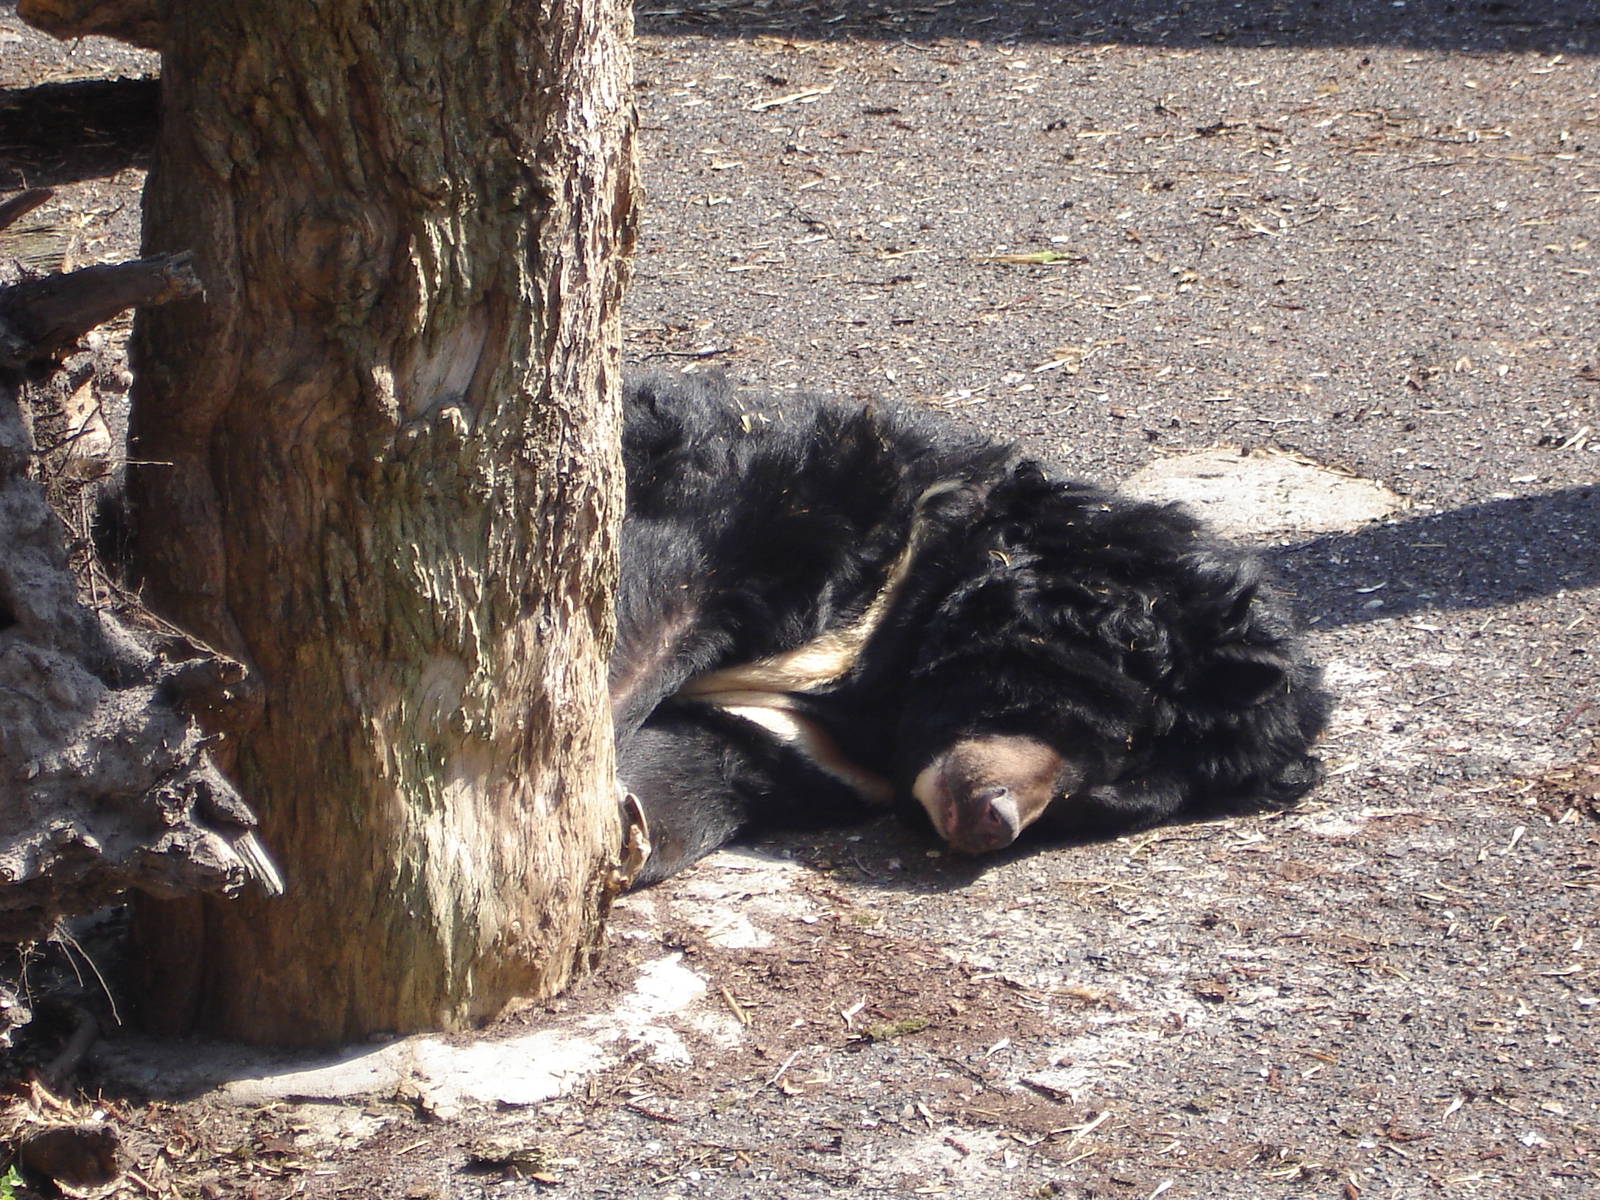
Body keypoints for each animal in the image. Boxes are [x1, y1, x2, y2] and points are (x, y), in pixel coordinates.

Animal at [612, 371, 1329, 887]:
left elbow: (693, 767)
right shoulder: (764, 498)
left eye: (1110, 796)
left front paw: (624, 836)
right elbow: (650, 610)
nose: (995, 820)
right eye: (1075, 717)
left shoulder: (795, 740)